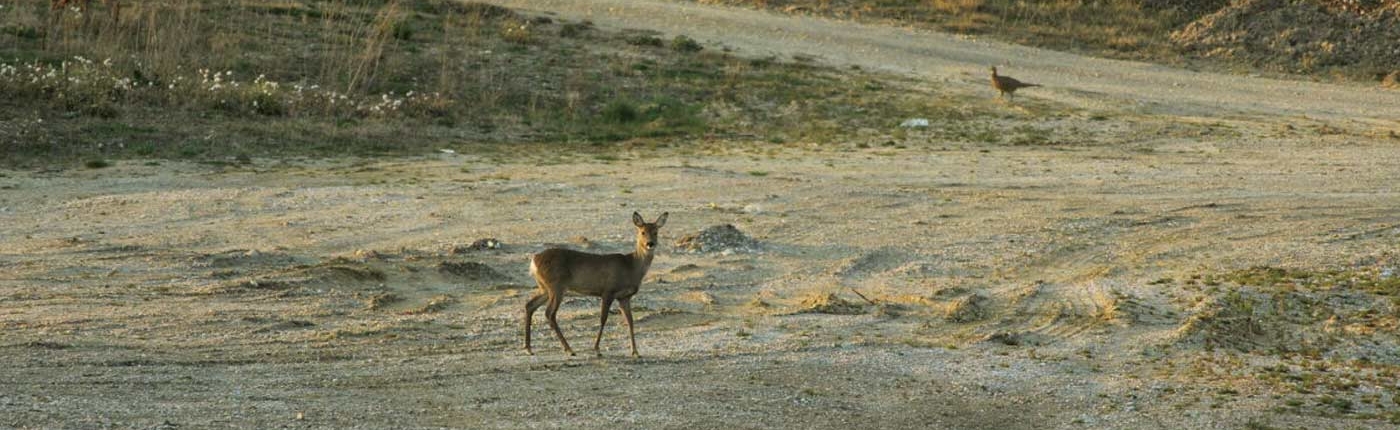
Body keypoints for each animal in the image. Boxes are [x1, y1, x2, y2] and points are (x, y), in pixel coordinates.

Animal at [526, 211, 666, 357]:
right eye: (642, 232)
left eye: (656, 232)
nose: (650, 243)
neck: (631, 266)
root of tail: (534, 260)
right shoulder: (608, 291)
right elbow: (603, 318)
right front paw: (597, 349)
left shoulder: (624, 297)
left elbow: (630, 321)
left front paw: (635, 351)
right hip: (556, 286)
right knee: (550, 313)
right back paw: (569, 349)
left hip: (545, 288)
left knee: (530, 305)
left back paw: (529, 348)